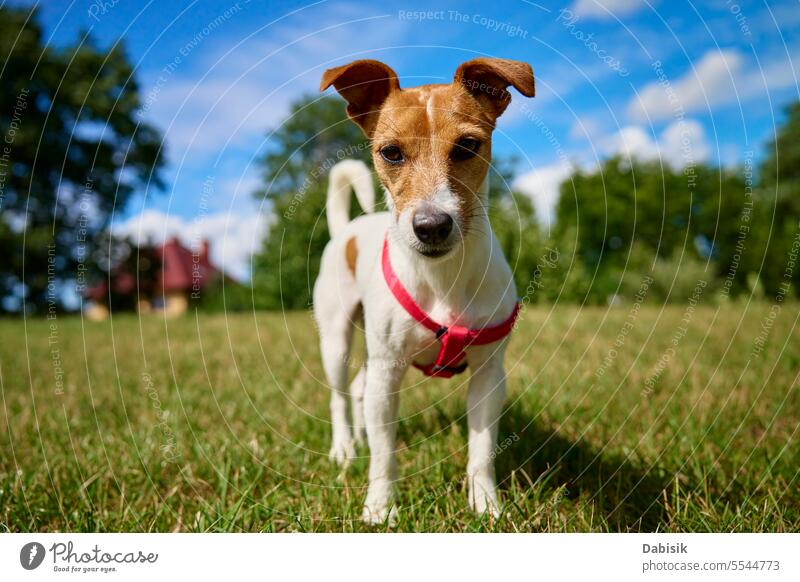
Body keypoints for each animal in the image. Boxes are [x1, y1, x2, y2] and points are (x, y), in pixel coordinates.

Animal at [316, 58, 536, 524]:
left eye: (468, 145)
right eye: (391, 153)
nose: (432, 225)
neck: (442, 279)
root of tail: (346, 230)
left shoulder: (489, 376)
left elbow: (481, 451)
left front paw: (486, 505)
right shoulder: (388, 370)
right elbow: (385, 457)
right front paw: (380, 509)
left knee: (359, 388)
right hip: (336, 339)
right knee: (341, 396)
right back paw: (345, 448)